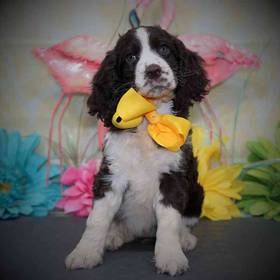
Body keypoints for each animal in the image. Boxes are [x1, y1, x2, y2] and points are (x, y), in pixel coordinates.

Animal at [65, 25, 209, 274]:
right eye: (131, 57)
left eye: (164, 49)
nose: (153, 70)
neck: (148, 118)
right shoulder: (111, 175)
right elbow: (96, 219)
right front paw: (85, 253)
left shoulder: (173, 176)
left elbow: (169, 221)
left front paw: (170, 256)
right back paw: (113, 235)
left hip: (197, 193)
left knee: (184, 222)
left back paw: (184, 239)